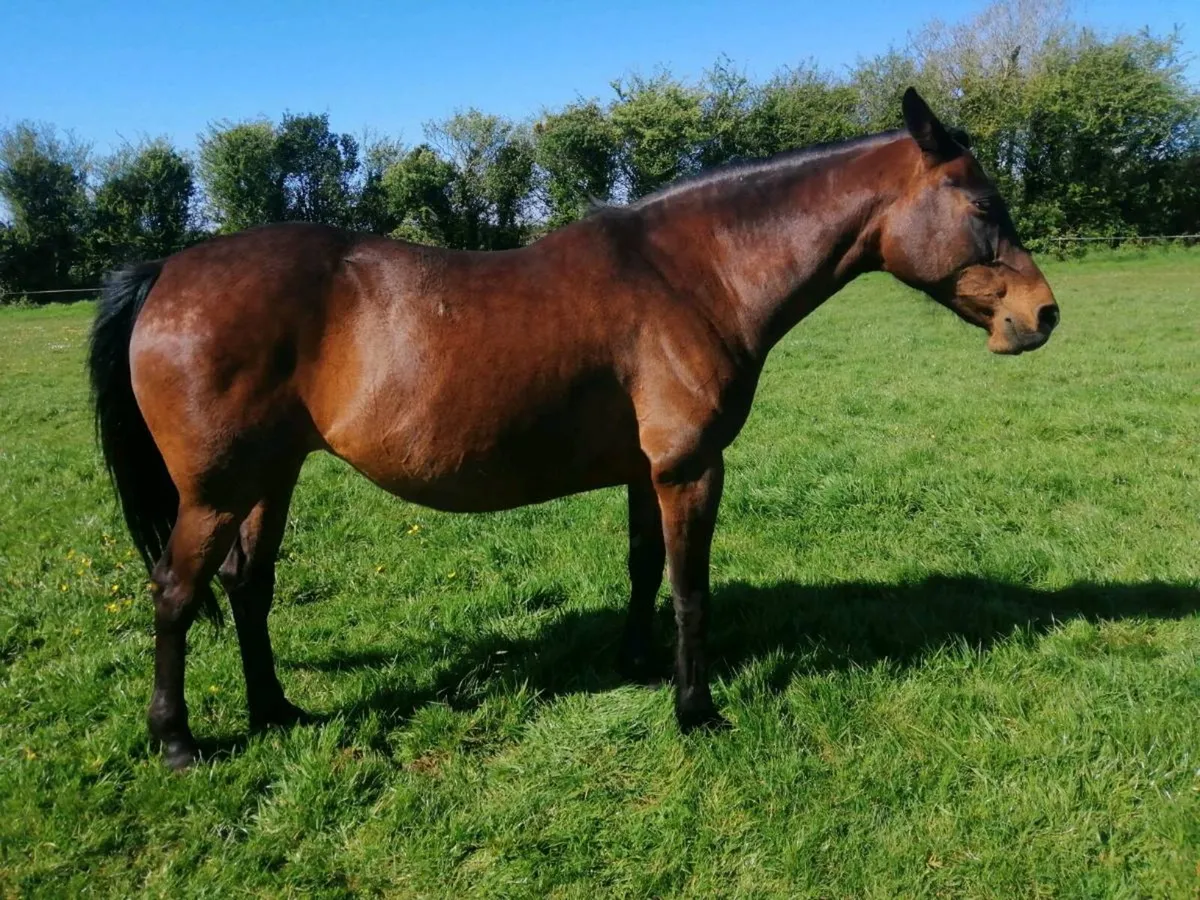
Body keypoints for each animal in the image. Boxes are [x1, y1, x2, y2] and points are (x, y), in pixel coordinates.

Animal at [88, 88, 1059, 769]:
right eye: (982, 206)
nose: (1043, 315)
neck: (692, 275)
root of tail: (168, 270)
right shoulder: (690, 468)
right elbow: (691, 588)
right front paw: (696, 709)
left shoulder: (644, 469)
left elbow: (642, 568)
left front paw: (637, 663)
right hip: (214, 492)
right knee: (176, 595)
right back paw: (177, 742)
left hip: (270, 476)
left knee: (249, 589)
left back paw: (276, 710)